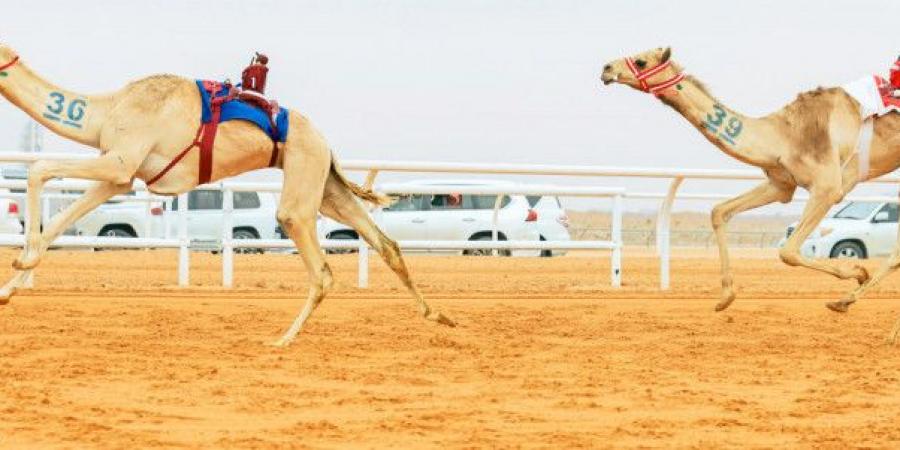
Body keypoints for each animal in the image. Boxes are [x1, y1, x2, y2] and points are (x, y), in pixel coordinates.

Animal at [0, 44, 454, 346]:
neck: (105, 111)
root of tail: (325, 140)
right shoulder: (121, 178)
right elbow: (58, 223)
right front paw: (10, 286)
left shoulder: (121, 162)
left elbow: (38, 170)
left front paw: (19, 262)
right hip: (324, 183)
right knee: (386, 243)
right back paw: (438, 315)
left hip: (301, 178)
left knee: (319, 263)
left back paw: (283, 338)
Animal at [600, 46, 900, 342]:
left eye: (641, 60)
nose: (606, 69)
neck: (784, 136)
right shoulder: (781, 185)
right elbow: (719, 211)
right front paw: (726, 297)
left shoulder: (829, 188)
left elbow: (788, 252)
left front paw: (858, 272)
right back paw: (855, 309)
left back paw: (862, 312)